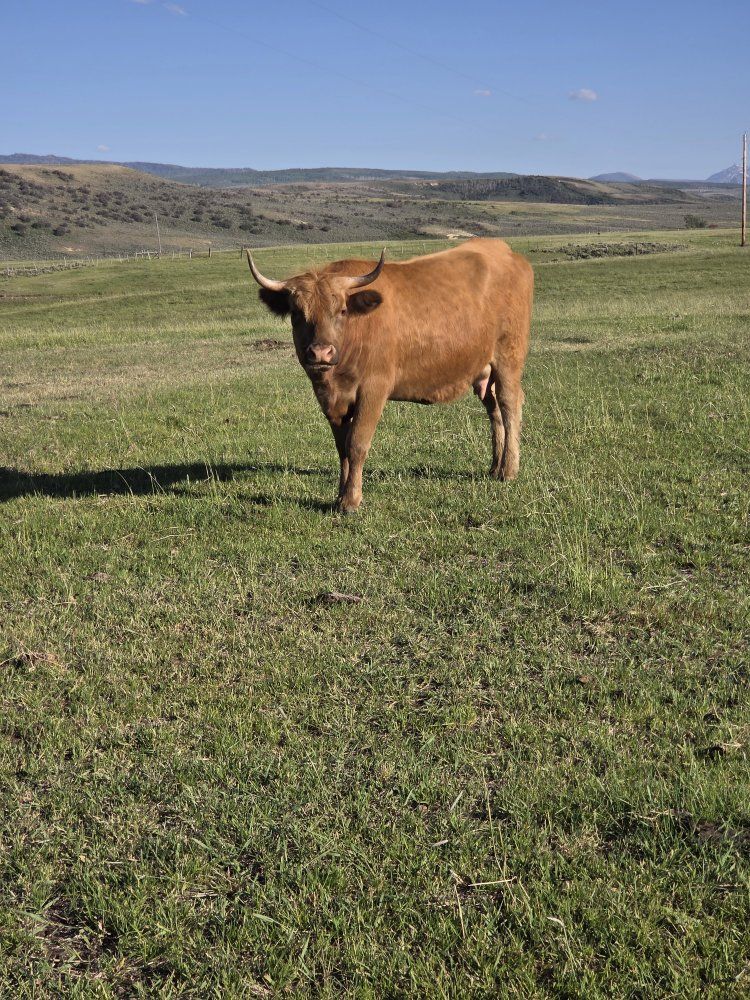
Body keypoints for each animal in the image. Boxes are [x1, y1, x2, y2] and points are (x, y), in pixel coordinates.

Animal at [247, 238, 533, 513]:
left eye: (342, 310)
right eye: (297, 313)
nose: (321, 353)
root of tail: (506, 252)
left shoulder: (374, 389)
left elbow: (357, 444)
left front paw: (351, 501)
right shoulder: (331, 400)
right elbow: (342, 448)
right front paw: (340, 496)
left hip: (508, 356)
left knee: (509, 404)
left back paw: (509, 470)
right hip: (484, 370)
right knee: (494, 410)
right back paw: (495, 467)